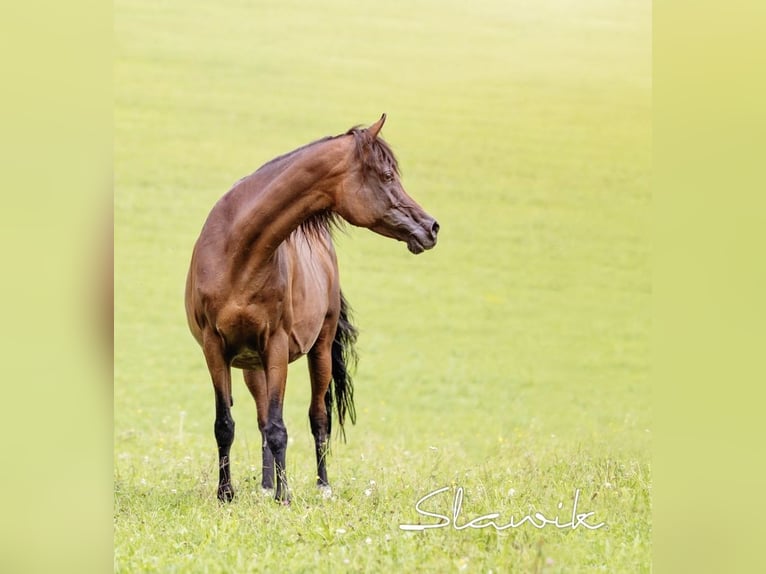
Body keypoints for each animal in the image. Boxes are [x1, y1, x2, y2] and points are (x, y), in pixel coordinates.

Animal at [183, 116, 440, 504]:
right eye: (386, 176)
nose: (431, 227)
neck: (237, 252)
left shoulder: (275, 344)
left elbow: (280, 427)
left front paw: (285, 497)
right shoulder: (215, 347)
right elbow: (226, 424)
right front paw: (226, 494)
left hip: (318, 351)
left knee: (318, 417)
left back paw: (322, 485)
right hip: (252, 366)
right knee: (262, 419)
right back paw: (265, 485)